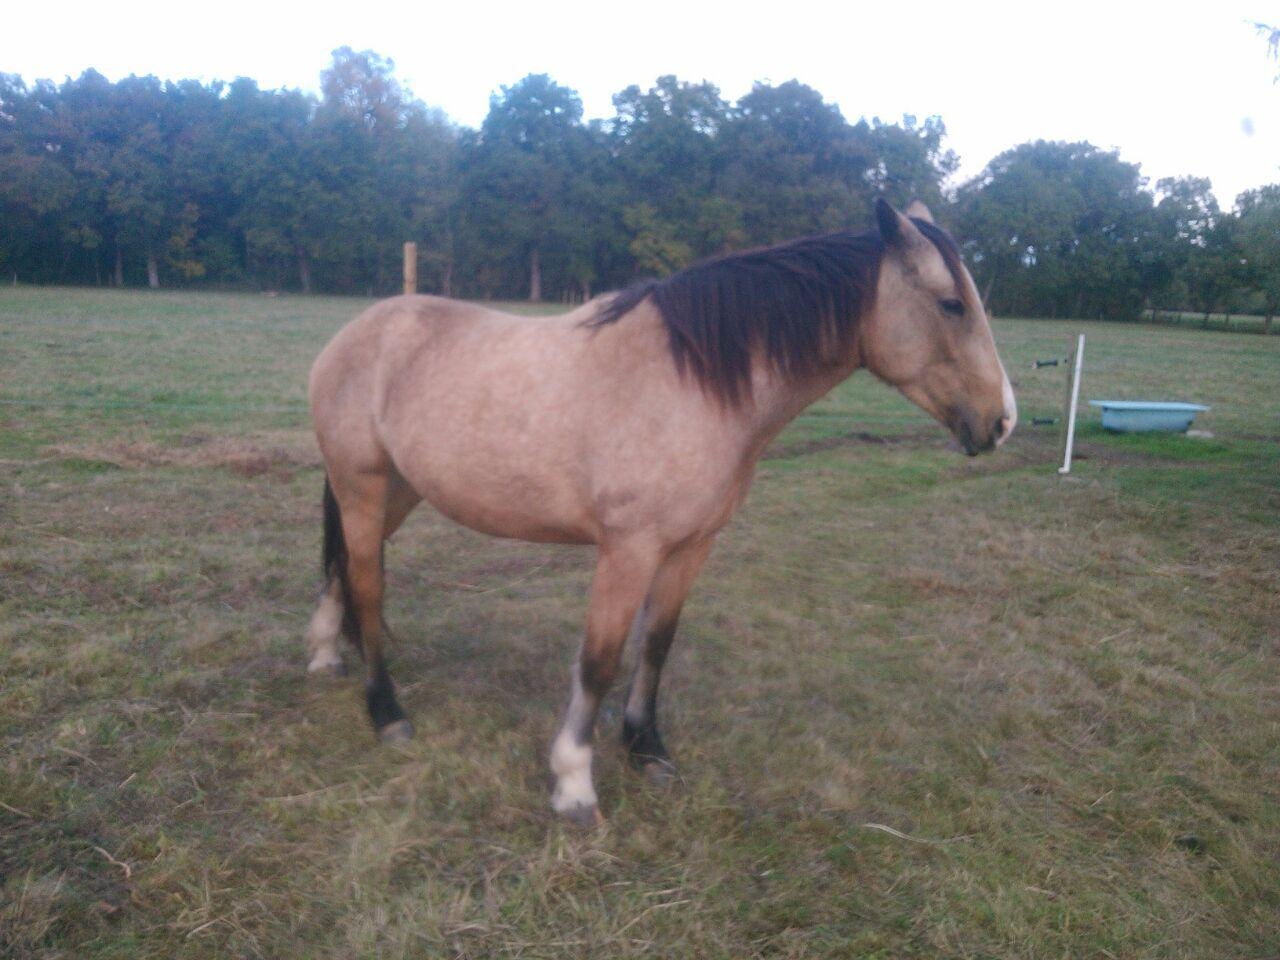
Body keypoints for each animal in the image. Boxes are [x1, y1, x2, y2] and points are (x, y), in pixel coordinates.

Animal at [304, 200, 1013, 829]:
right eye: (951, 303)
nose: (1001, 421)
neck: (695, 381)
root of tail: (358, 332)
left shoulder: (691, 545)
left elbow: (657, 644)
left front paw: (647, 748)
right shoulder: (629, 549)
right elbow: (599, 660)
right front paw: (574, 784)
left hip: (398, 491)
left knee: (344, 570)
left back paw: (324, 656)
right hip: (364, 486)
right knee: (368, 584)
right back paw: (386, 711)